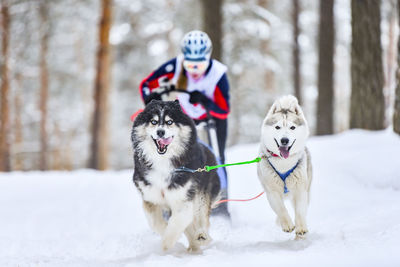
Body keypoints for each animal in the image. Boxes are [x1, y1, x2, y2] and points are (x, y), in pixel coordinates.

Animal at [131, 100, 220, 253]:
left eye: (170, 122)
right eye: (153, 122)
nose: (160, 132)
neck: (162, 161)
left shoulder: (183, 199)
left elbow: (177, 223)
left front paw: (167, 244)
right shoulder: (150, 197)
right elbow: (156, 223)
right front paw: (168, 236)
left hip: (202, 196)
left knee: (201, 219)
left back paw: (202, 236)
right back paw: (194, 246)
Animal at [256, 95, 312, 238]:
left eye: (292, 127)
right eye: (277, 127)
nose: (284, 140)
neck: (283, 163)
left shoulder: (300, 190)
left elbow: (299, 211)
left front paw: (301, 227)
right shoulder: (272, 192)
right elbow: (281, 209)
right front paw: (287, 224)